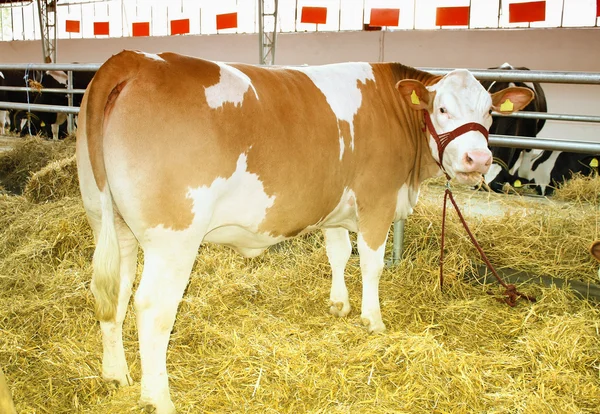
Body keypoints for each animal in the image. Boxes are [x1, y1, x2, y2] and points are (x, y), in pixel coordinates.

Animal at [76, 50, 536, 412]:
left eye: (489, 112)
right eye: (442, 110)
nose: (479, 159)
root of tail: (133, 60)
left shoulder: (333, 206)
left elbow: (338, 252)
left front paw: (339, 305)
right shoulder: (377, 200)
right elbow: (370, 264)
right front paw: (373, 320)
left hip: (110, 222)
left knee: (112, 293)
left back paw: (116, 374)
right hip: (174, 237)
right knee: (153, 308)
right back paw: (158, 398)